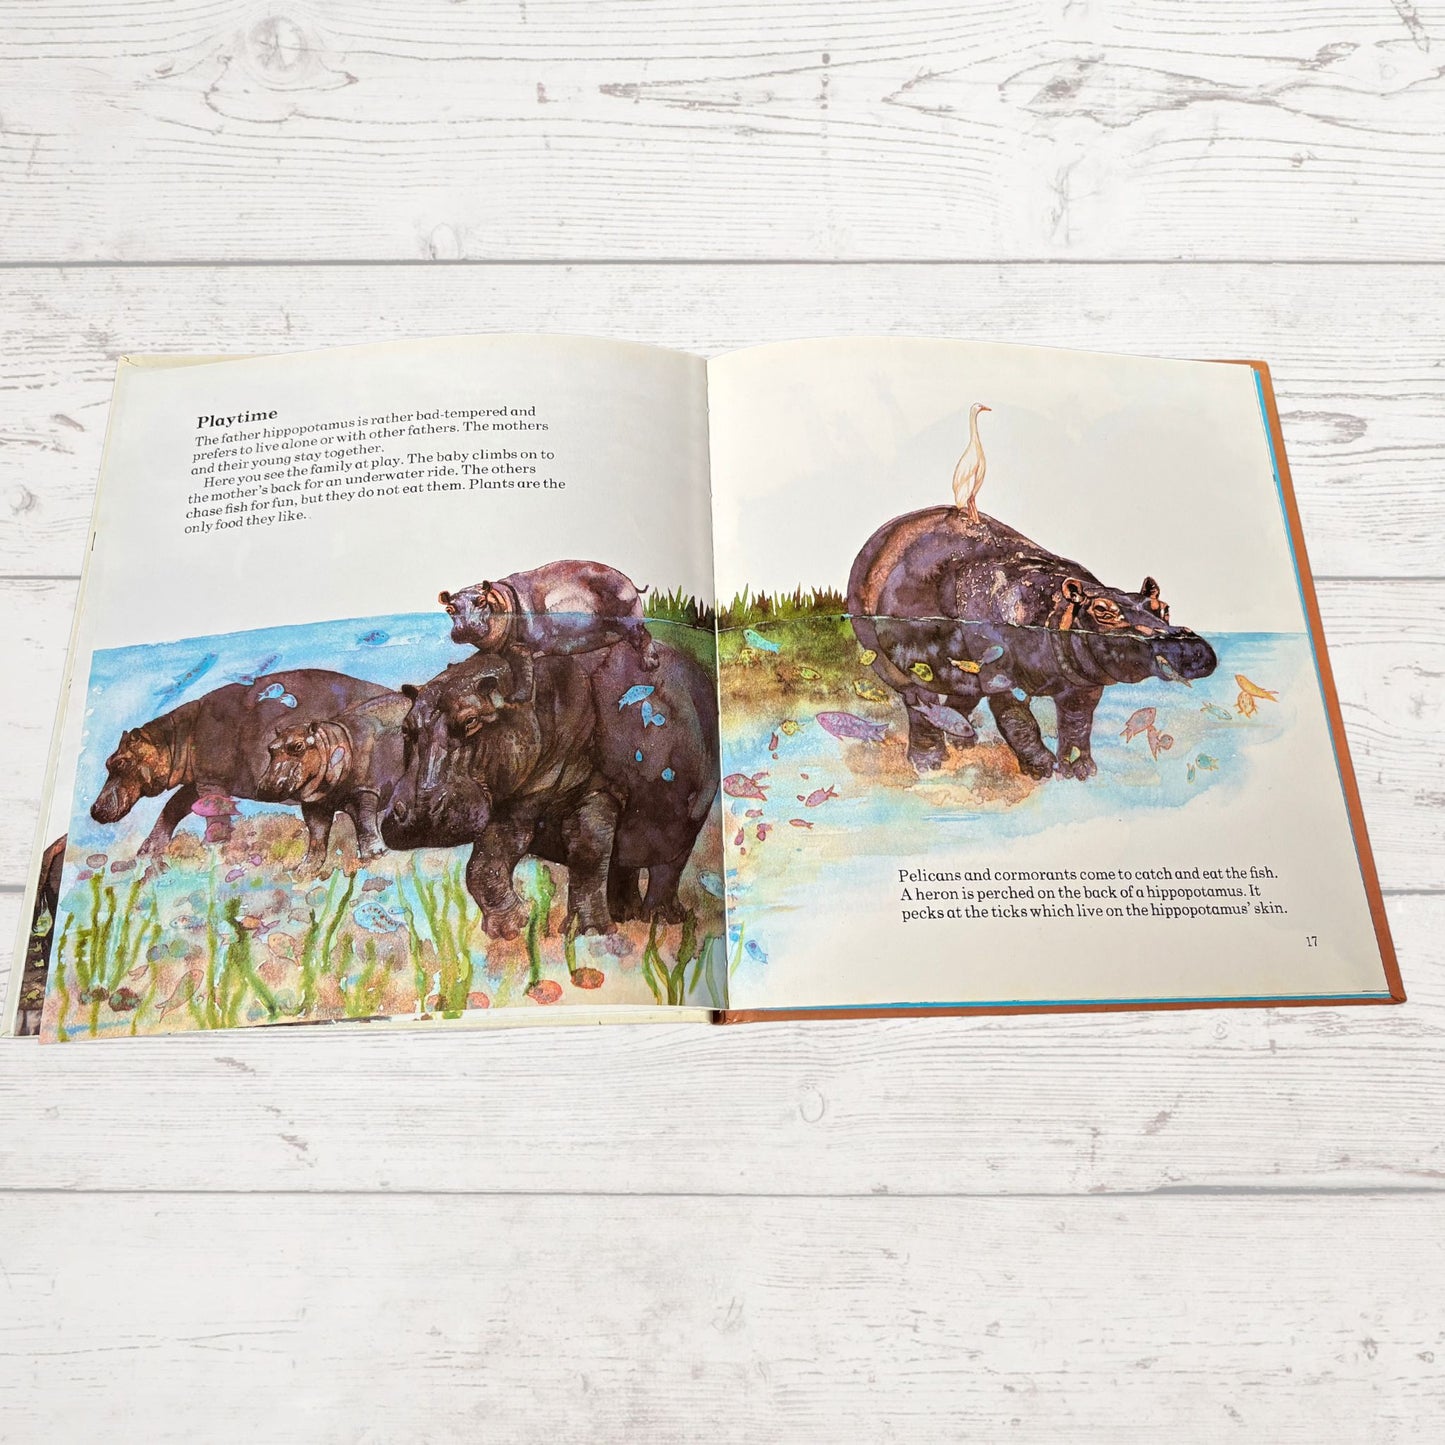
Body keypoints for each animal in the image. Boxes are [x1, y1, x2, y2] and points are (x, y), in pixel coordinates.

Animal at [90, 670, 394, 858]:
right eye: (107, 762)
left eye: (121, 763)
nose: (94, 809)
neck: (172, 738)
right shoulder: (200, 779)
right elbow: (173, 807)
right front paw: (148, 852)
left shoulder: (210, 780)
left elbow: (212, 813)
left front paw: (215, 846)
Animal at [255, 691, 413, 873]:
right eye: (270, 748)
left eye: (298, 746)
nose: (266, 787)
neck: (331, 744)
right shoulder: (315, 802)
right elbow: (316, 834)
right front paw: (305, 869)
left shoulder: (365, 789)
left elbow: (365, 822)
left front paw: (376, 855)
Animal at [382, 640, 719, 936]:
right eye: (406, 728)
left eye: (471, 721)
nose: (419, 816)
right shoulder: (516, 802)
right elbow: (484, 865)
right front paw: (513, 926)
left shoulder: (600, 791)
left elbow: (587, 856)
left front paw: (588, 934)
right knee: (622, 864)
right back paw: (625, 916)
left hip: (685, 825)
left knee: (666, 869)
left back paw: (661, 921)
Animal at [439, 559, 659, 703]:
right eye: (449, 609)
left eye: (481, 601)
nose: (465, 629)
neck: (502, 600)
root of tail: (631, 584)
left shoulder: (520, 646)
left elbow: (524, 670)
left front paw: (515, 699)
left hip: (626, 618)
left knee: (643, 636)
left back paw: (649, 665)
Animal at [848, 507, 1217, 778]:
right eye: (1102, 611)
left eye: (1162, 606)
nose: (1193, 648)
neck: (1057, 611)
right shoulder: (999, 674)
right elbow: (1018, 721)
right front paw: (1042, 769)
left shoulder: (1084, 683)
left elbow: (1078, 723)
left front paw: (1081, 772)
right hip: (894, 664)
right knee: (919, 702)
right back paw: (929, 763)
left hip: (960, 671)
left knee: (958, 698)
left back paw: (964, 743)